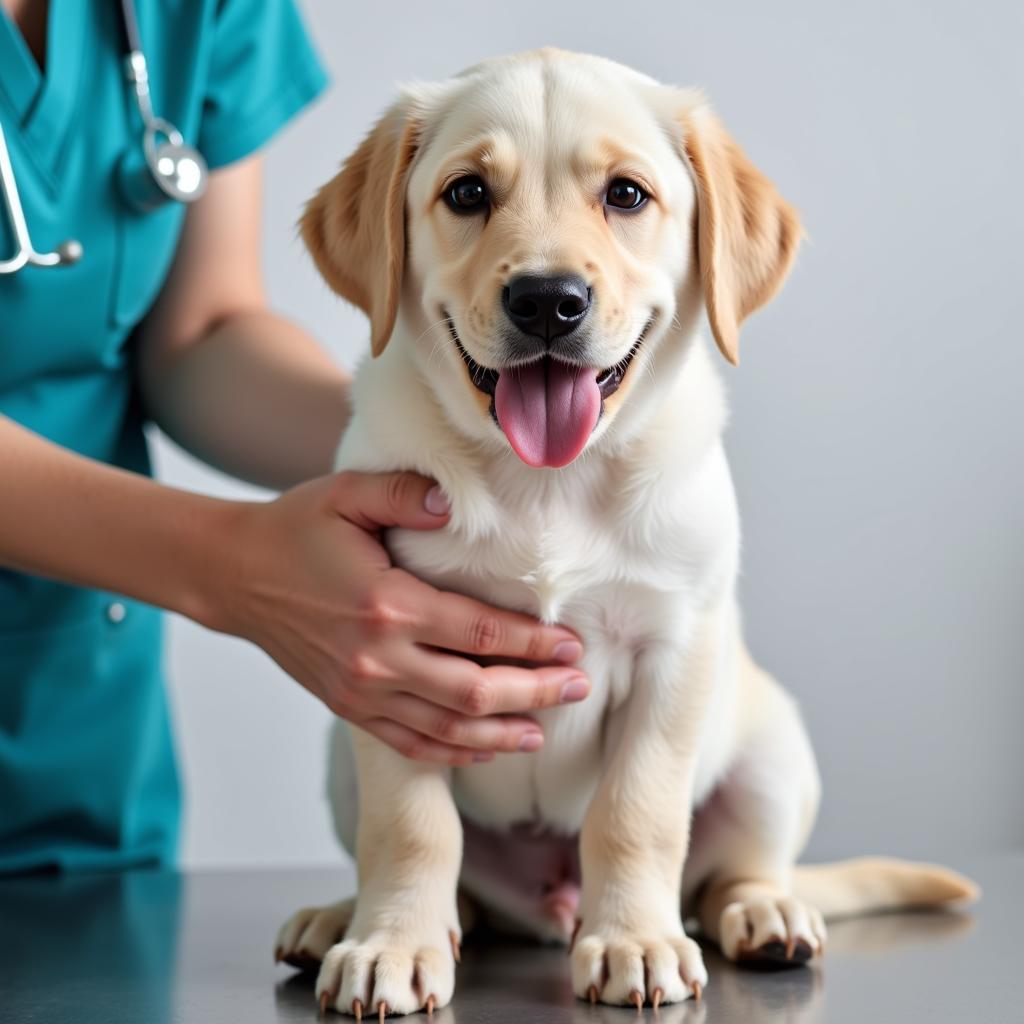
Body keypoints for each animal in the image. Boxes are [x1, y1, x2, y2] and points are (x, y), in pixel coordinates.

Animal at [278, 48, 974, 1015]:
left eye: (627, 195)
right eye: (466, 193)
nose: (547, 301)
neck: (546, 483)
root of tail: (547, 904)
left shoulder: (675, 648)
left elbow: (635, 812)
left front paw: (635, 942)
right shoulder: (390, 664)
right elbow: (412, 825)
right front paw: (392, 943)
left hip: (772, 753)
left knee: (730, 874)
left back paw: (766, 916)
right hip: (339, 758)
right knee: (460, 882)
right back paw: (347, 918)